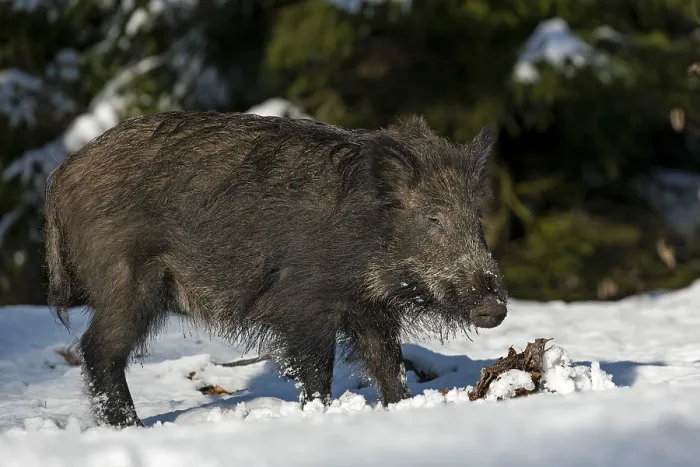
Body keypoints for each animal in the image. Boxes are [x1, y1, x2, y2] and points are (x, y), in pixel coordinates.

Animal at [44, 111, 508, 427]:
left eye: (476, 217)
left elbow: (387, 364)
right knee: (97, 349)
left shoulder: (369, 309)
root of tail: (61, 175)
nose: (496, 309)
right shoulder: (303, 305)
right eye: (434, 218)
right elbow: (316, 371)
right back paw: (133, 428)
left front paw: (401, 408)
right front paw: (319, 413)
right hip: (126, 281)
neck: (368, 234)